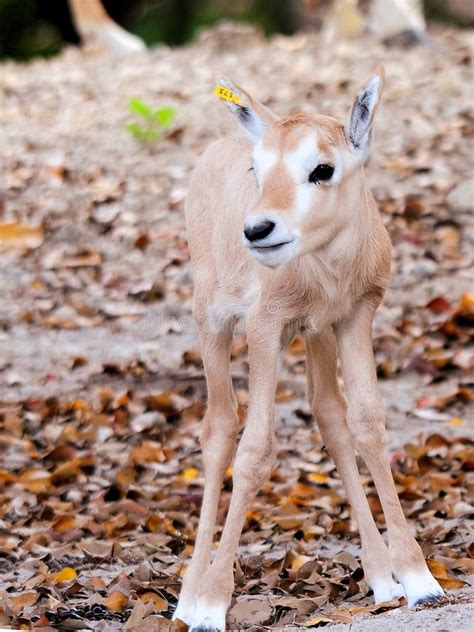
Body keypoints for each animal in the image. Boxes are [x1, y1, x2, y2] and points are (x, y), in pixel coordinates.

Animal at [174, 66, 444, 628]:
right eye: (258, 169)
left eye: (323, 167)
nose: (258, 229)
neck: (327, 268)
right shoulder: (264, 328)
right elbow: (254, 450)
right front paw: (212, 604)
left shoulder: (354, 317)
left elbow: (367, 424)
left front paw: (418, 580)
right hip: (213, 321)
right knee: (219, 428)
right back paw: (188, 596)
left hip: (316, 334)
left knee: (328, 414)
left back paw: (380, 576)